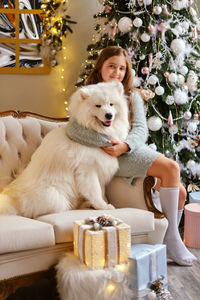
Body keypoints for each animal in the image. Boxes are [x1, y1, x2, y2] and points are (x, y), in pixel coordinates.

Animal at [0, 82, 129, 218]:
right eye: (98, 106)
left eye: (111, 104)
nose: (109, 115)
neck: (92, 132)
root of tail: (11, 198)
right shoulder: (87, 170)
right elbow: (95, 191)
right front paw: (103, 206)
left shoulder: (100, 169)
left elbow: (101, 190)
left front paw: (97, 204)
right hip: (54, 196)